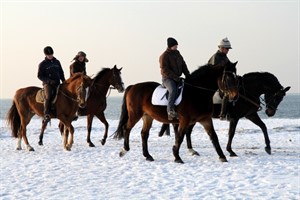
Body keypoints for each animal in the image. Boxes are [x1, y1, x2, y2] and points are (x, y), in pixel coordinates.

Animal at [159, 71, 290, 157]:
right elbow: (231, 133)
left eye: (281, 98)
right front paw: (230, 151)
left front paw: (268, 147)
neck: (246, 91)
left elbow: (263, 126)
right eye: (277, 97)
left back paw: (191, 150)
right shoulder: (235, 118)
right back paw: (190, 149)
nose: (270, 112)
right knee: (187, 131)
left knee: (188, 131)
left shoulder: (250, 115)